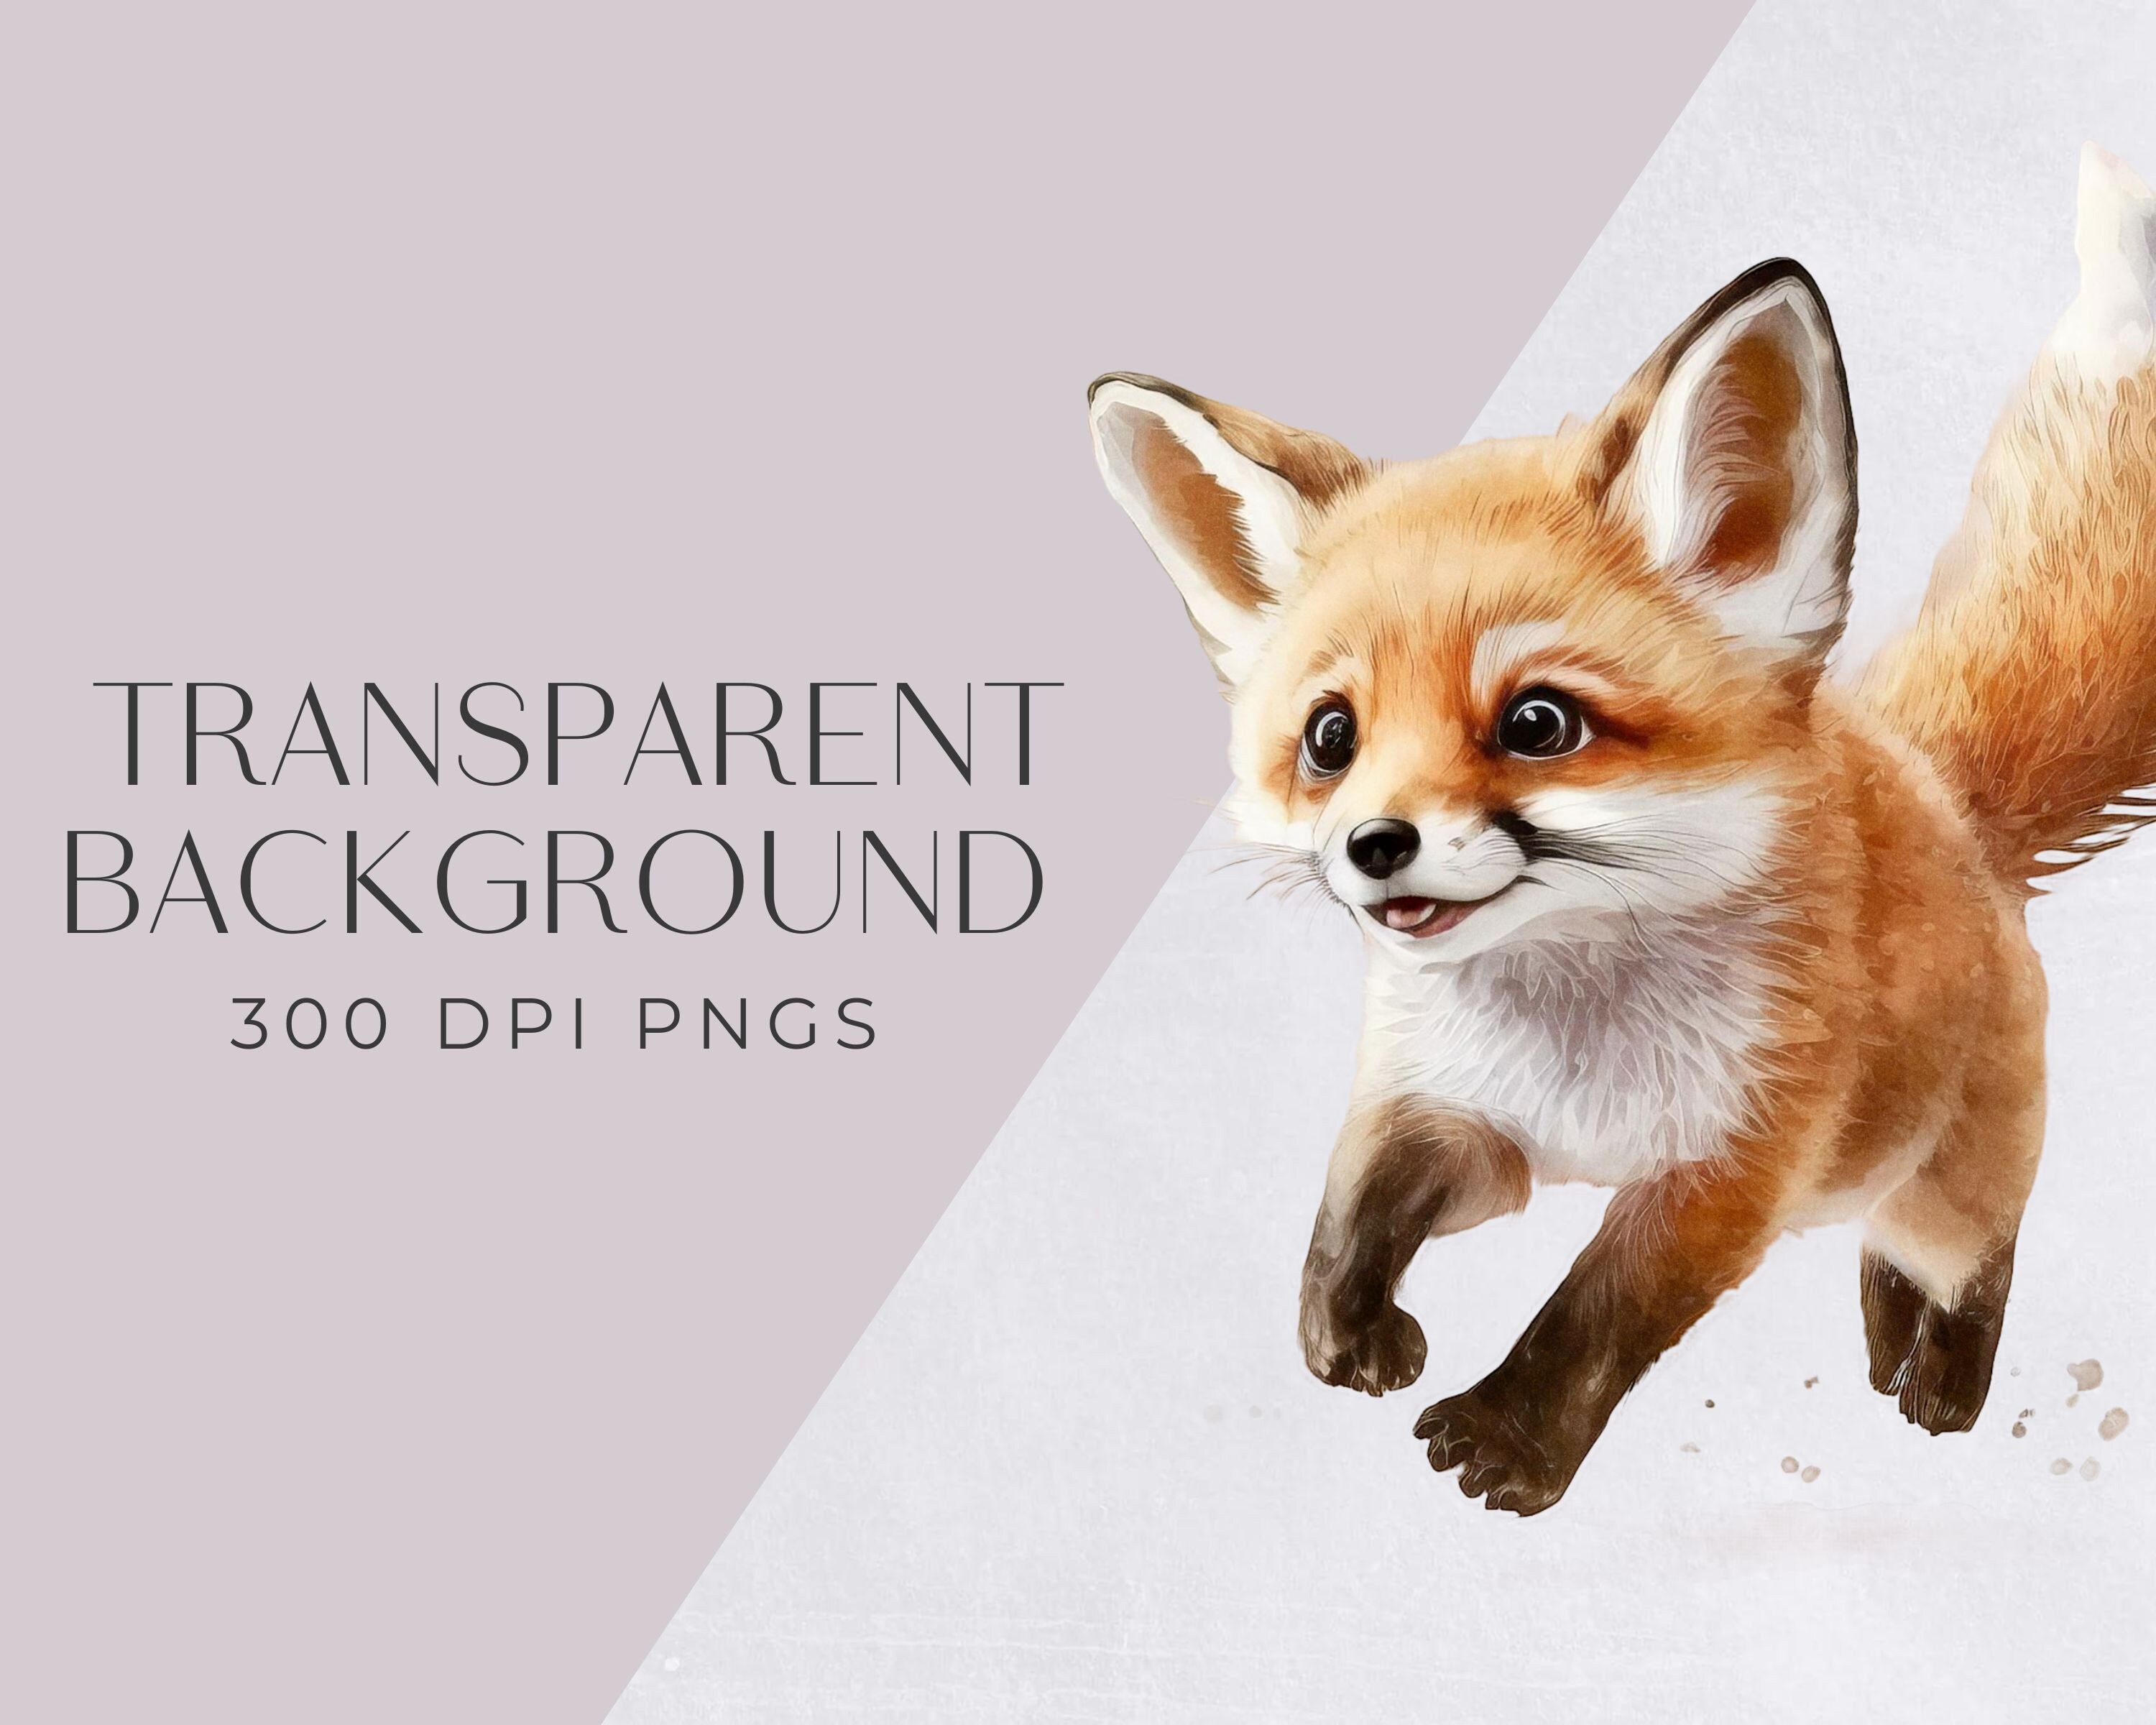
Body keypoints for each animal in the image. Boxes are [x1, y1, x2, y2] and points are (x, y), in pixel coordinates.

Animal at [1085, 145, 2156, 1515]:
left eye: (1538, 721)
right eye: (1331, 739)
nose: (1373, 846)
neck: (1573, 1052)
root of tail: (1944, 796)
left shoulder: (1729, 1172)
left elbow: (1595, 1315)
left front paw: (1506, 1440)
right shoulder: (1462, 1118)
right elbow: (1350, 1215)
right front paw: (1351, 1336)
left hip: (1949, 1185)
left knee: (1971, 1265)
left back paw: (1943, 1394)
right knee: (1882, 1261)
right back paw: (1880, 1358)